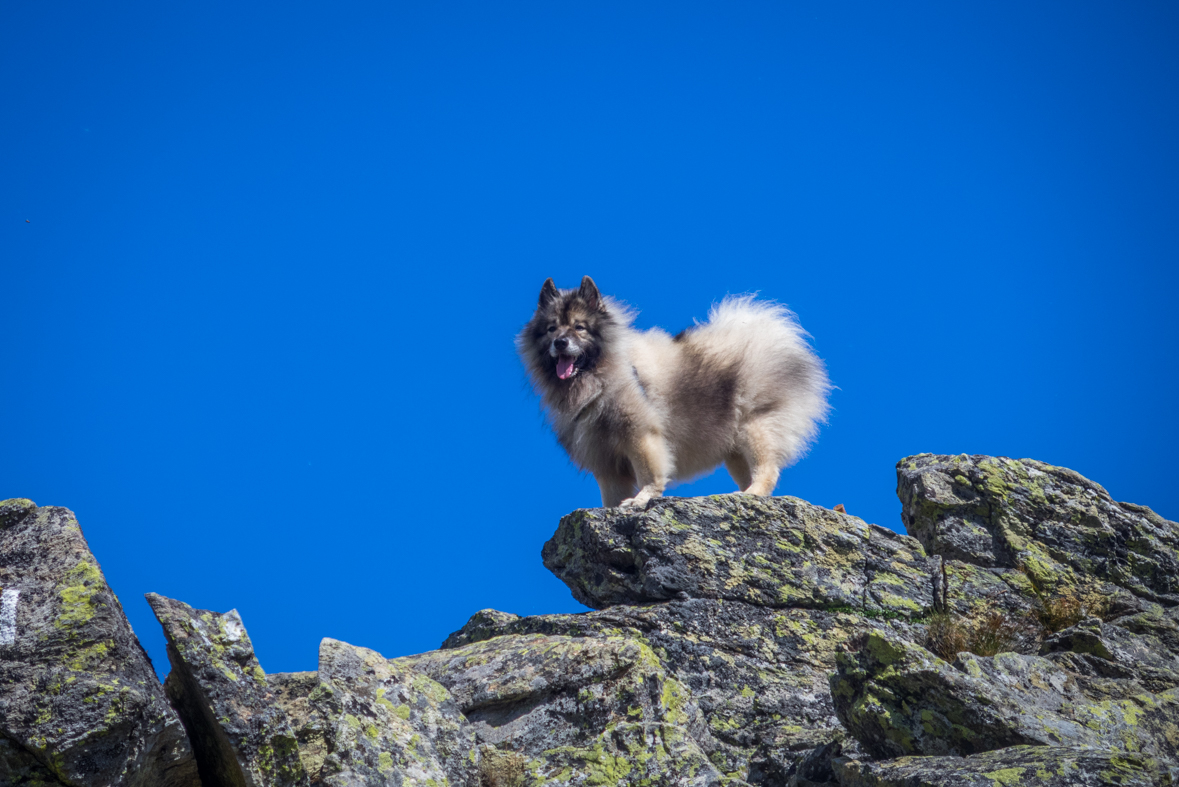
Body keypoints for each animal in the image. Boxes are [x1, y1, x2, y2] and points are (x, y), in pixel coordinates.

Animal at [516, 276, 830, 511]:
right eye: (551, 328)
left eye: (580, 328)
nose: (560, 342)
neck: (601, 377)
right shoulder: (605, 462)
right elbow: (611, 497)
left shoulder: (640, 436)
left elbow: (649, 474)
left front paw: (641, 499)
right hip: (735, 451)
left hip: (754, 429)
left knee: (767, 470)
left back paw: (751, 494)